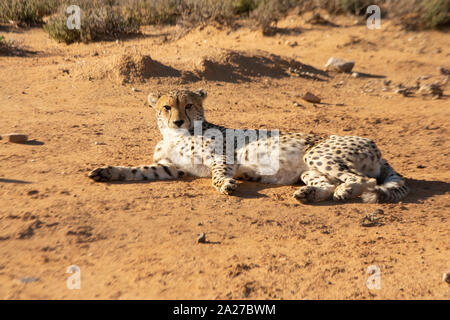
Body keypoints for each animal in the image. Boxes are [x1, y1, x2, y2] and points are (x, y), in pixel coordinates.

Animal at [88, 89, 408, 204]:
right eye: (167, 107)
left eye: (189, 105)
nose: (178, 121)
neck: (175, 136)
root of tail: (373, 143)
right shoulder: (169, 169)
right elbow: (136, 170)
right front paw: (107, 171)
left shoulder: (221, 157)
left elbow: (218, 175)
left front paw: (226, 185)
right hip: (309, 169)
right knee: (328, 183)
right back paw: (309, 194)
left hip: (317, 153)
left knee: (363, 180)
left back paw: (343, 192)